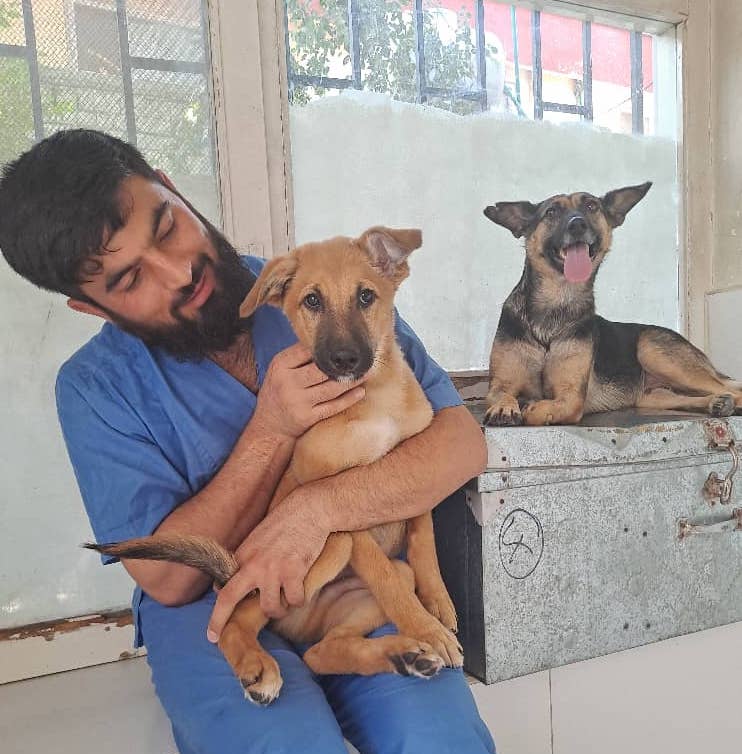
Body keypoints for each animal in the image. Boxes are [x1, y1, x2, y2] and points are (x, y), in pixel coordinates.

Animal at [482, 183, 742, 426]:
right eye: (551, 212)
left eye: (591, 206)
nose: (577, 225)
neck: (556, 301)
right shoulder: (501, 383)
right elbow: (502, 394)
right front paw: (505, 407)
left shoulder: (573, 395)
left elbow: (551, 407)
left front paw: (532, 407)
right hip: (654, 396)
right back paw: (716, 403)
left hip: (655, 350)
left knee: (732, 389)